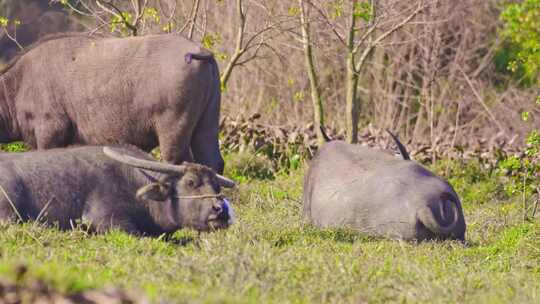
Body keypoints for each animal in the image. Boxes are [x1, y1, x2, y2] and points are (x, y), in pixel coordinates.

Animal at [0, 33, 224, 173]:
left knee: (175, 162)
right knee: (213, 162)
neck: (18, 84)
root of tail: (199, 50)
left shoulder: (49, 132)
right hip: (207, 126)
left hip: (173, 131)